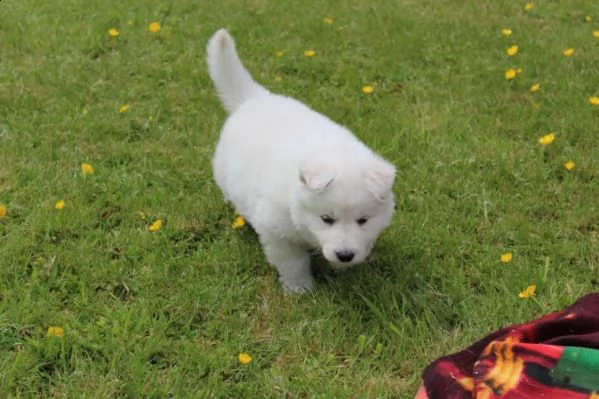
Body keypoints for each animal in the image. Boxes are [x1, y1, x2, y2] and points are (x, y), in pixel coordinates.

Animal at [207, 27, 398, 290]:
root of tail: (254, 98)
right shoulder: (276, 230)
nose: (345, 255)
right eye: (326, 219)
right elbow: (293, 261)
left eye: (363, 220)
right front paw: (300, 288)